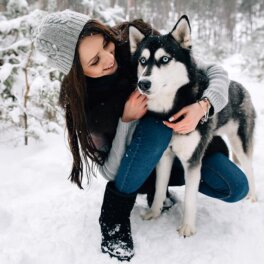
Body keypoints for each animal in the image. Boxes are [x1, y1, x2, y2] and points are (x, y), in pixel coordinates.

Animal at [129, 14, 256, 237]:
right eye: (142, 61)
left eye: (165, 59)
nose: (143, 83)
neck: (171, 109)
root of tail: (240, 86)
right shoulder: (164, 156)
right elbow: (160, 187)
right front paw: (154, 213)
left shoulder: (193, 161)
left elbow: (190, 199)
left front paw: (187, 228)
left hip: (240, 143)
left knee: (249, 167)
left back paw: (254, 197)